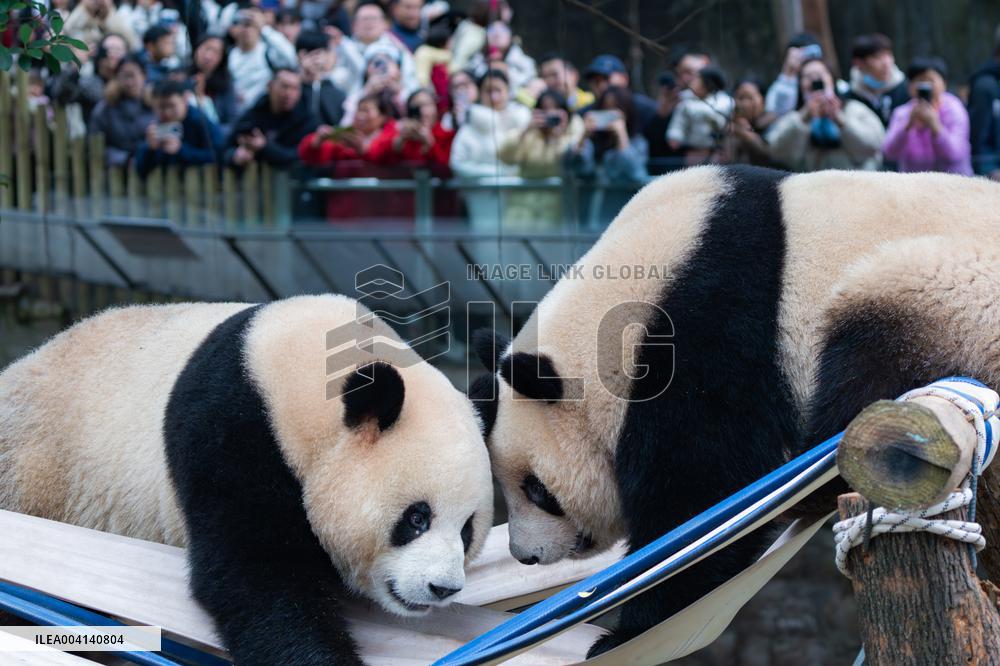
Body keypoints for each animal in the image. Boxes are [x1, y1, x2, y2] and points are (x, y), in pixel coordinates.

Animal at [0, 295, 494, 665]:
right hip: (38, 466)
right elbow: (255, 576)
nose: (443, 588)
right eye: (417, 518)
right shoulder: (232, 429)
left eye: (467, 530)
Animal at [469, 165, 1000, 656]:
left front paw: (622, 634)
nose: (524, 556)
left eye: (537, 491)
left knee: (871, 360)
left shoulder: (708, 330)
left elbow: (700, 489)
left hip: (945, 293)